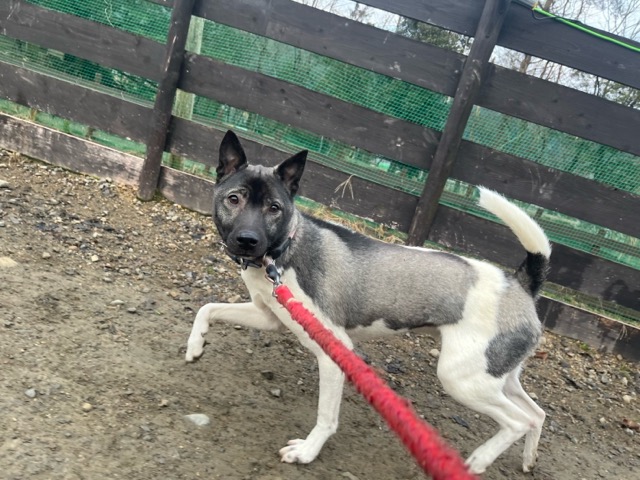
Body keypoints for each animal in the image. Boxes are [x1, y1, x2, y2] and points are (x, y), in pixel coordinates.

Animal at [186, 130, 551, 475]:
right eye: (234, 199)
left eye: (274, 208)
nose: (248, 240)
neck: (283, 250)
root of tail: (520, 283)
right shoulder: (269, 315)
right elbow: (208, 308)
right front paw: (195, 344)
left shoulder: (334, 351)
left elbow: (326, 417)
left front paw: (307, 452)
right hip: (496, 375)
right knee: (537, 414)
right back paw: (529, 458)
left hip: (461, 379)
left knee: (517, 421)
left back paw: (478, 460)